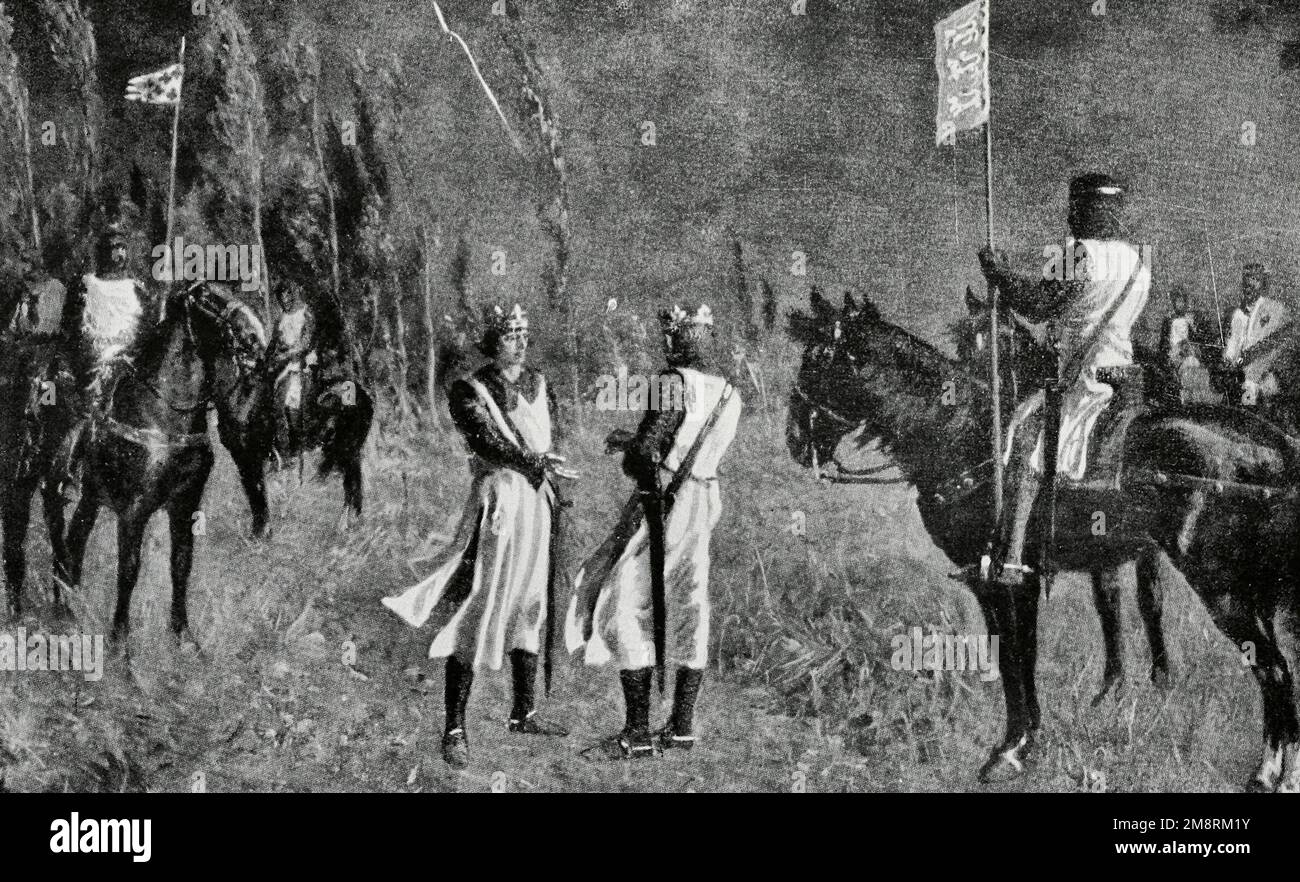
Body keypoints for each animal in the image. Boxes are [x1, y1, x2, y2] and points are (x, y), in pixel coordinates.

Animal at [56, 284, 244, 650]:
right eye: (208, 298)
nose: (248, 334)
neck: (163, 416)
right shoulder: (134, 510)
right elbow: (128, 570)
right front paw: (119, 640)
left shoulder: (185, 504)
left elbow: (181, 564)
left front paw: (182, 633)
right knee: (66, 541)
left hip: (90, 497)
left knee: (75, 540)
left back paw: (71, 600)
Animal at [785, 290, 1300, 796]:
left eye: (818, 360)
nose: (793, 441)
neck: (964, 437)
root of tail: (1276, 448)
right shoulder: (997, 581)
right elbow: (1015, 655)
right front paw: (1024, 738)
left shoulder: (1011, 580)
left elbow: (1018, 656)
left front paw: (1013, 748)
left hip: (1222, 588)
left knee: (1274, 670)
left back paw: (1269, 774)